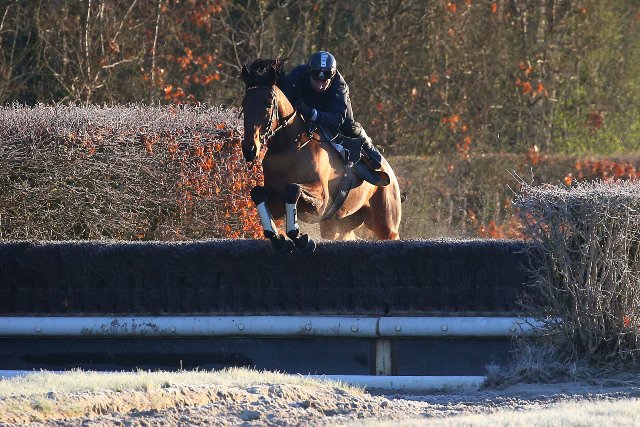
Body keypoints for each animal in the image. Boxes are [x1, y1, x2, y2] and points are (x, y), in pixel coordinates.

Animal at [240, 58, 402, 252]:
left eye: (268, 105)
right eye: (244, 105)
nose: (250, 149)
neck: (289, 146)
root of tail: (389, 170)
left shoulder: (321, 201)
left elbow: (293, 189)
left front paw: (299, 236)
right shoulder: (276, 200)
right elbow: (258, 193)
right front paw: (277, 236)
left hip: (386, 224)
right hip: (339, 224)